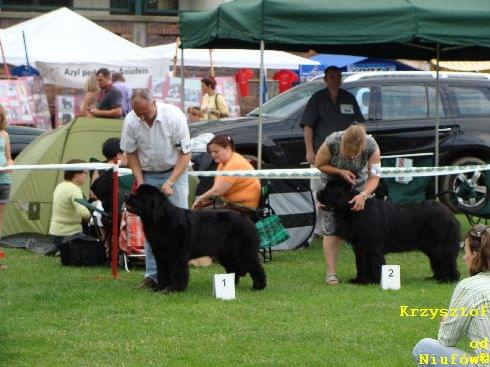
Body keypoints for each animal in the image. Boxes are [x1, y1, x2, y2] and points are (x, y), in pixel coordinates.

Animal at [124, 185, 266, 294]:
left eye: (140, 196)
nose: (126, 195)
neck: (160, 220)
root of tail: (247, 218)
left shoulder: (176, 256)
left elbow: (177, 273)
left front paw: (173, 289)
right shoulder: (161, 256)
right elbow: (162, 273)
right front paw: (159, 289)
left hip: (245, 252)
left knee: (256, 268)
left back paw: (258, 287)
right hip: (226, 255)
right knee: (234, 269)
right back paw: (232, 284)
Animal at [316, 181, 462, 284]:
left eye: (330, 190)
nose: (318, 191)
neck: (354, 211)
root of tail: (448, 213)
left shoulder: (370, 248)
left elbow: (370, 263)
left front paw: (370, 281)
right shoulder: (360, 248)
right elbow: (360, 264)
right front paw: (359, 280)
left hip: (440, 245)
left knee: (446, 260)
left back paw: (448, 279)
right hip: (432, 248)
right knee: (438, 261)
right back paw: (436, 278)